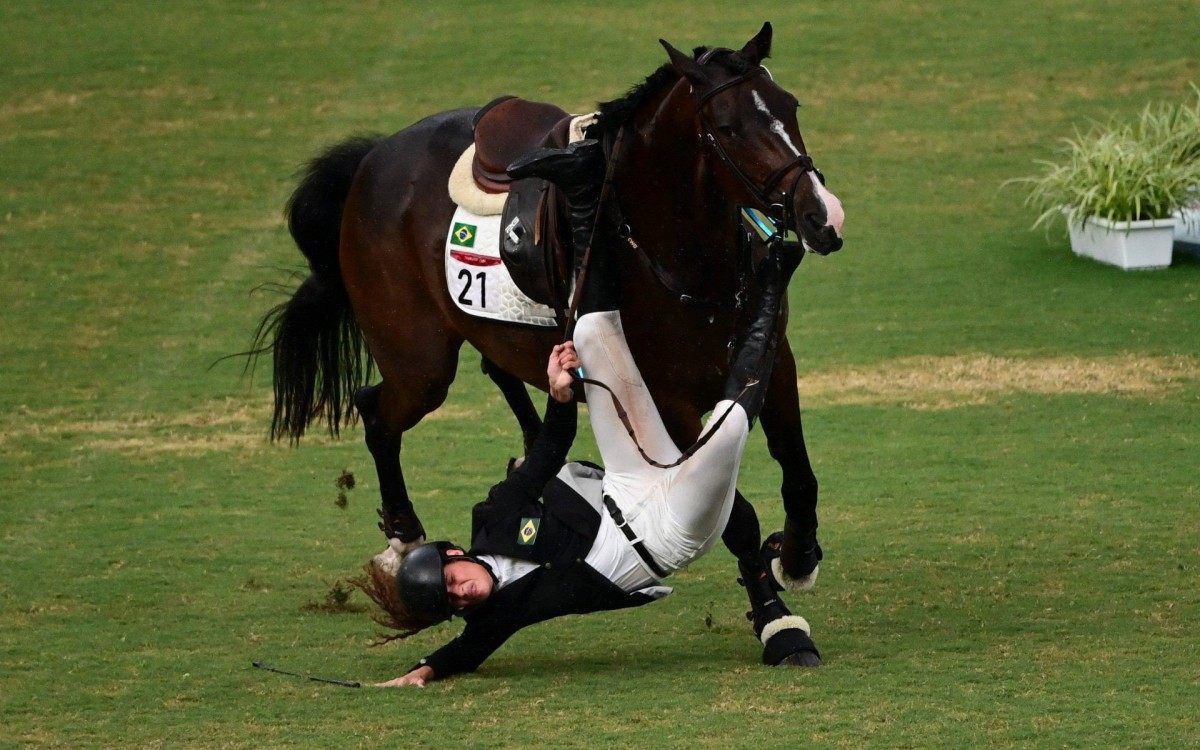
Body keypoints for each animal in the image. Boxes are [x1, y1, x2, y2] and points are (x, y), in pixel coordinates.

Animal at [256, 23, 844, 662]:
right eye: (731, 128)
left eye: (791, 106)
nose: (822, 218)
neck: (677, 256)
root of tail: (373, 157)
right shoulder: (670, 400)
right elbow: (736, 515)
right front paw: (778, 623)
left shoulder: (774, 361)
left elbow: (798, 471)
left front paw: (797, 557)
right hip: (421, 367)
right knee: (376, 411)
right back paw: (405, 537)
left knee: (499, 378)